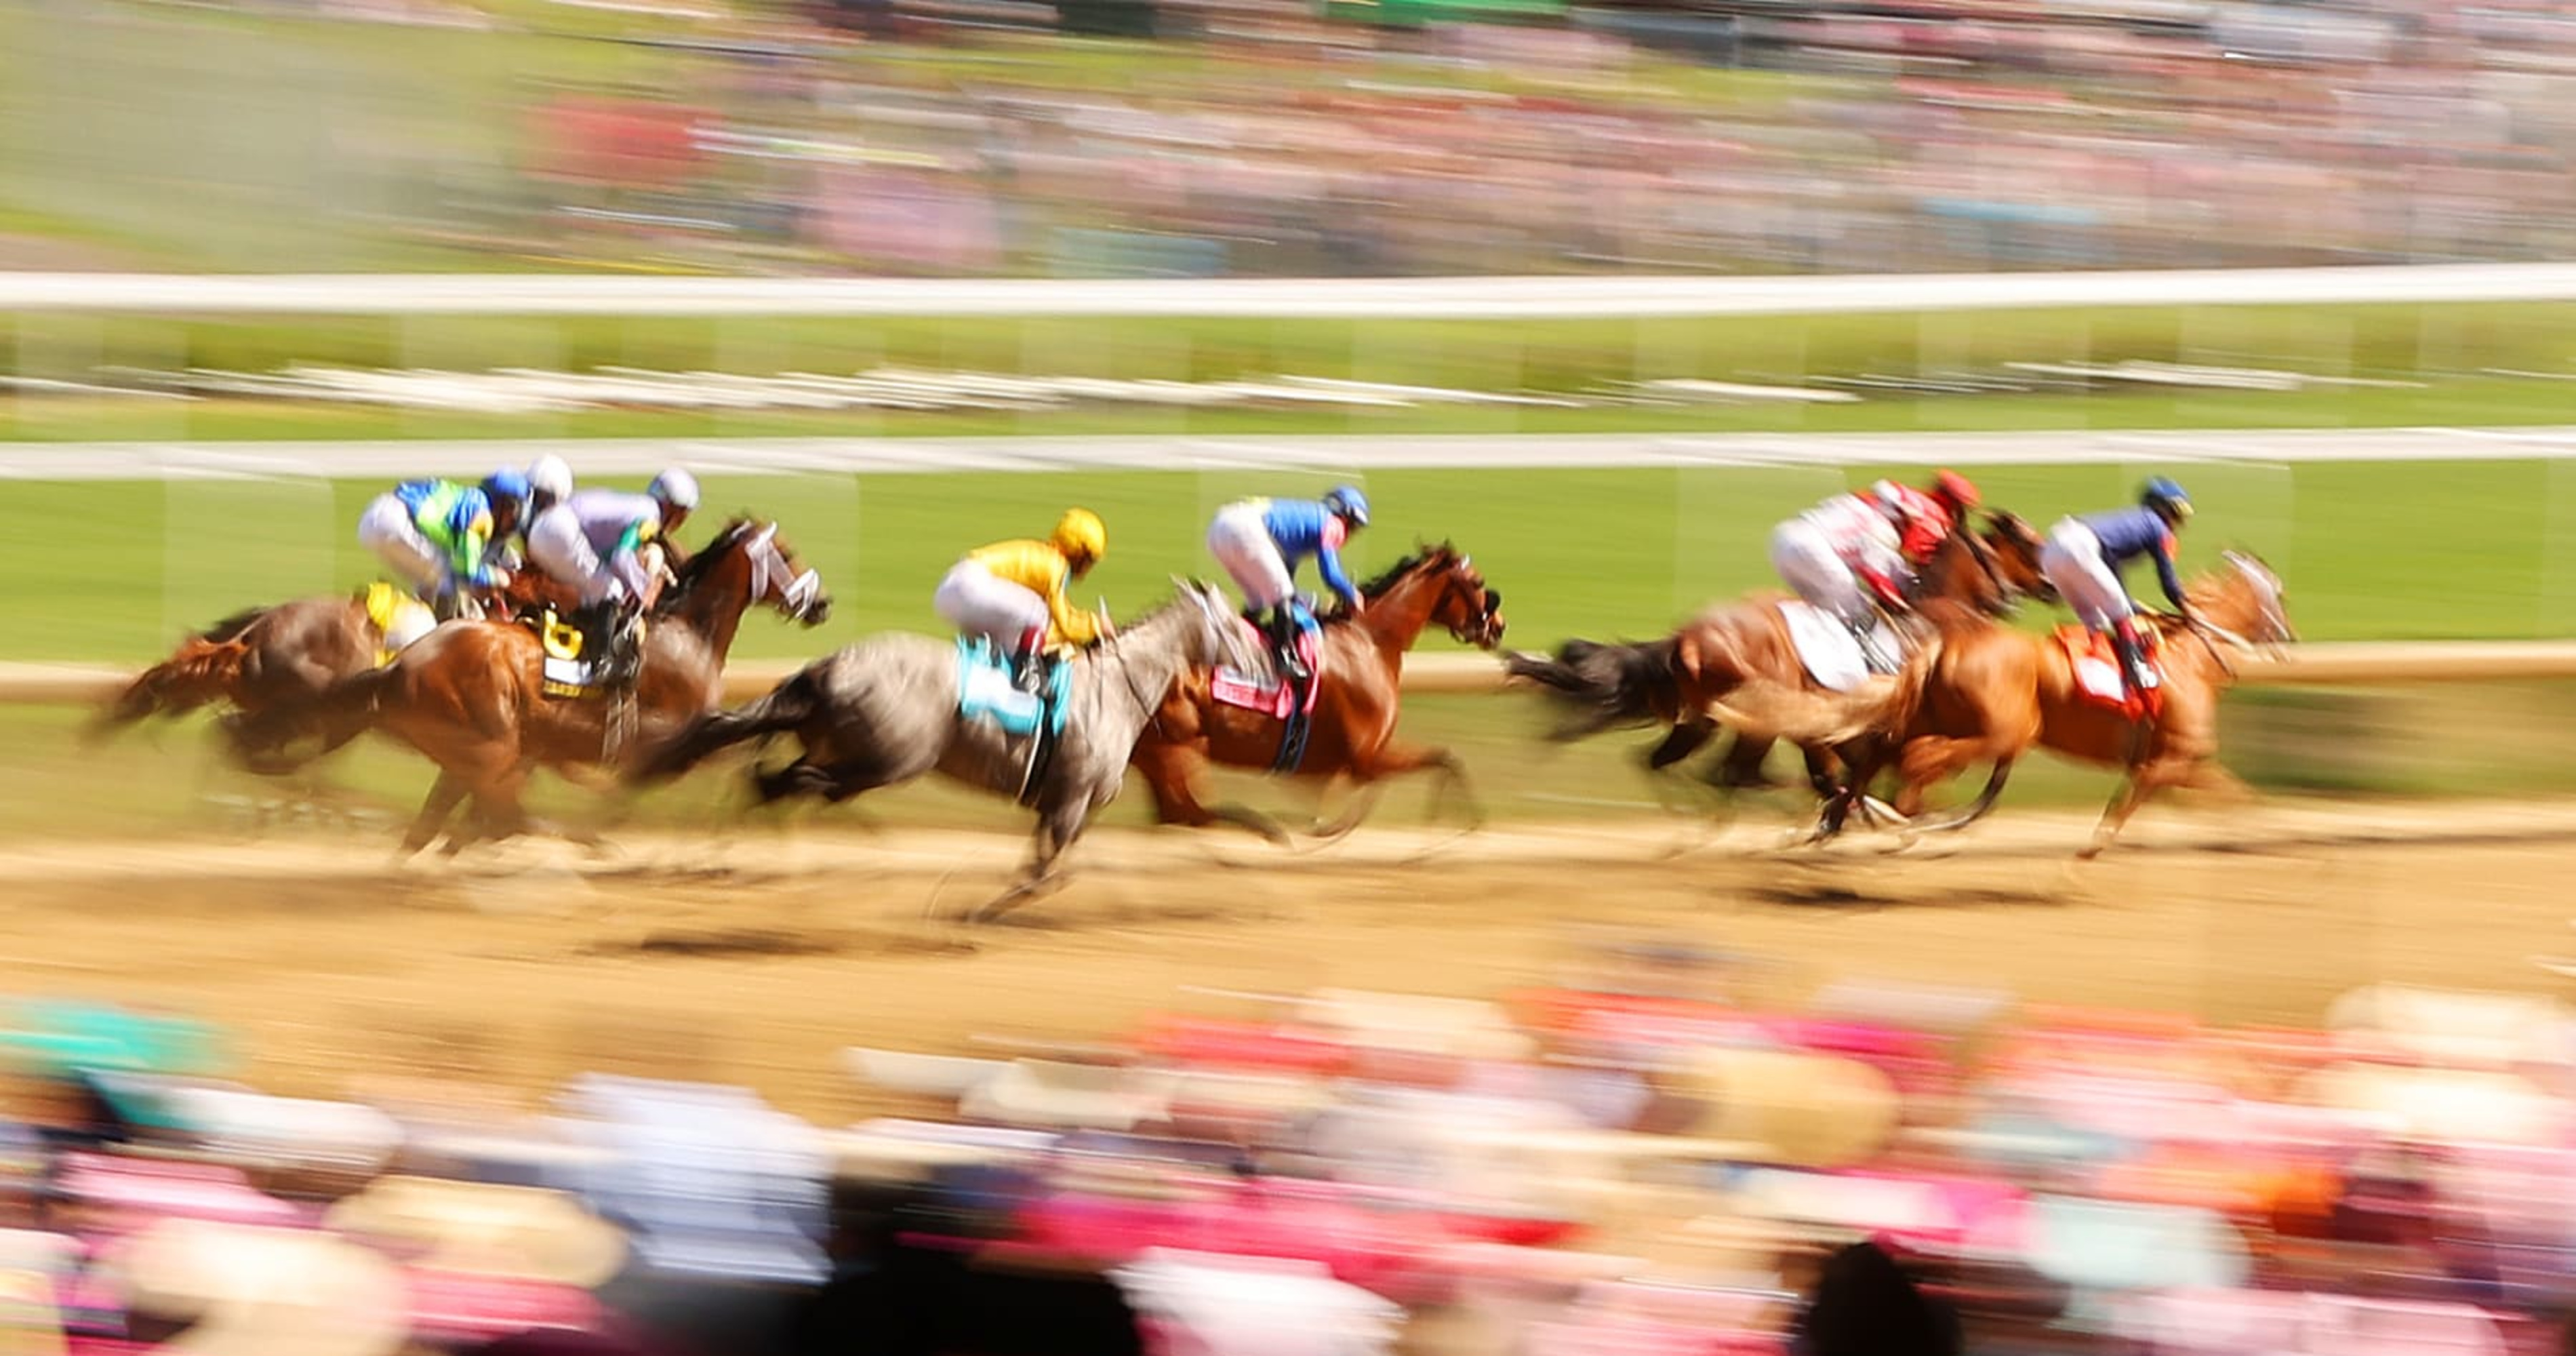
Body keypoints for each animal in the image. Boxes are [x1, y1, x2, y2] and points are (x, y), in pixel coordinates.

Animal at [633, 582, 1257, 923]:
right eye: (1237, 625)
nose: (1264, 665)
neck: (1115, 691)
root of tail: (828, 666)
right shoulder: (1072, 797)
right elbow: (1044, 875)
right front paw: (974, 909)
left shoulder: (1064, 804)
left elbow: (1048, 868)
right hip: (891, 758)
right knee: (797, 783)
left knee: (772, 782)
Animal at [1128, 538, 1504, 840]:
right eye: (1478, 582)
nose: (1499, 626)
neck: (1371, 640)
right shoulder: (1367, 758)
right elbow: (1445, 757)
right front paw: (1464, 822)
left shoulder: (1350, 765)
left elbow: (1441, 760)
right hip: (1180, 751)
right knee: (1194, 813)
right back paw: (1268, 829)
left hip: (1157, 757)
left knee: (1179, 815)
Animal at [1504, 513, 2040, 809]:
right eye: (2031, 545)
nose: (2016, 596)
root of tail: (1686, 637)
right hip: (1757, 719)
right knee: (1733, 775)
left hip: (1706, 719)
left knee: (1667, 764)